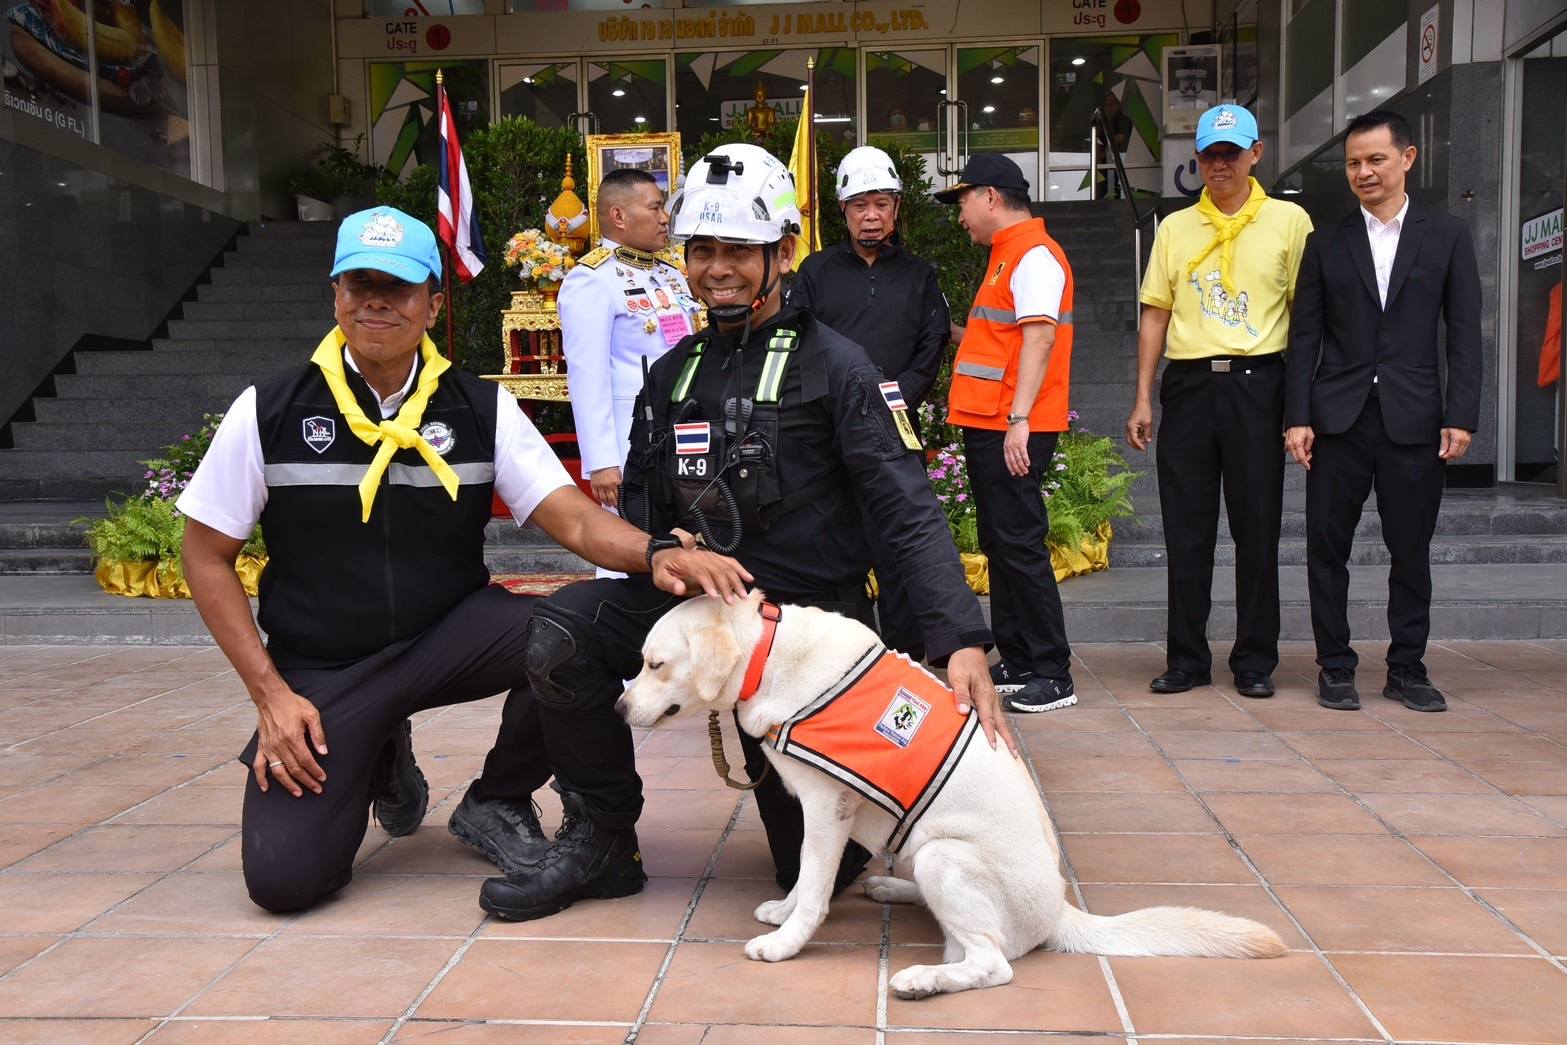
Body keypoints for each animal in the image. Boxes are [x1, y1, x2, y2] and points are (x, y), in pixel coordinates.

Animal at [617, 592, 1287, 999]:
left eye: (655, 665)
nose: (619, 709)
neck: (768, 655)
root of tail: (1061, 910)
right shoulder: (819, 813)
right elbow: (806, 878)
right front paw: (783, 913)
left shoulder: (828, 808)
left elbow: (813, 885)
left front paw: (785, 942)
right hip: (926, 853)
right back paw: (893, 890)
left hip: (946, 855)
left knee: (991, 963)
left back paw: (923, 981)